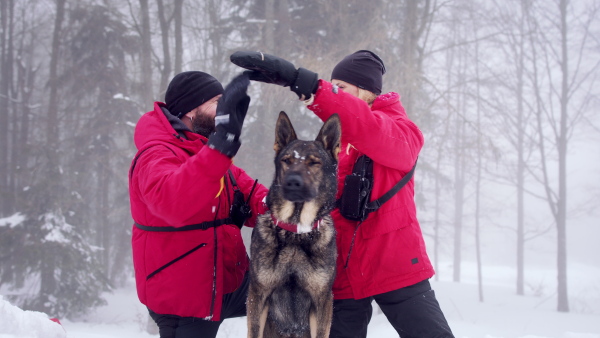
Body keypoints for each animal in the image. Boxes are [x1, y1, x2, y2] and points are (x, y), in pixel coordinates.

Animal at [247, 112, 342, 336]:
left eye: (314, 163)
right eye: (287, 161)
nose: (292, 182)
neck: (296, 230)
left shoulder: (322, 301)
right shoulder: (258, 296)